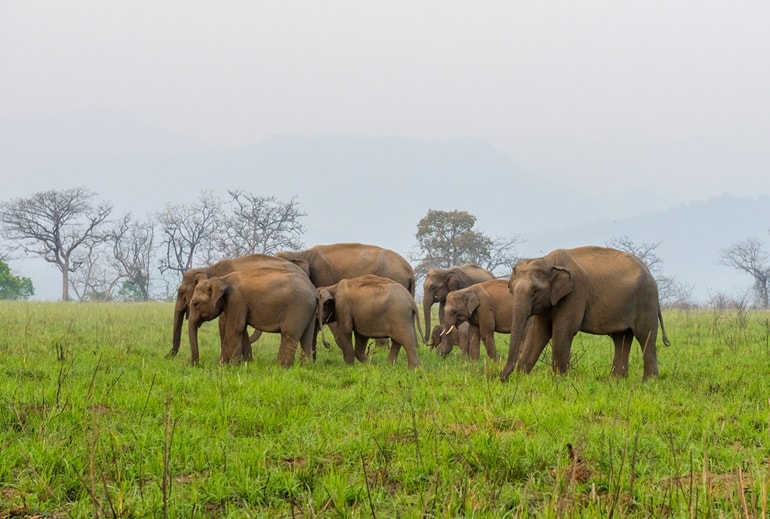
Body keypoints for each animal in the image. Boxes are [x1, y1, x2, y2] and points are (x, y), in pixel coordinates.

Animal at [500, 246, 668, 384]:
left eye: (535, 291)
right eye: (511, 290)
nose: (502, 378)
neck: (549, 261)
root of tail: (649, 272)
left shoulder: (575, 293)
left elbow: (562, 331)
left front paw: (559, 381)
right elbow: (538, 333)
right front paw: (521, 378)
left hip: (646, 299)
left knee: (645, 335)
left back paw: (648, 382)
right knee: (621, 338)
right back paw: (615, 380)